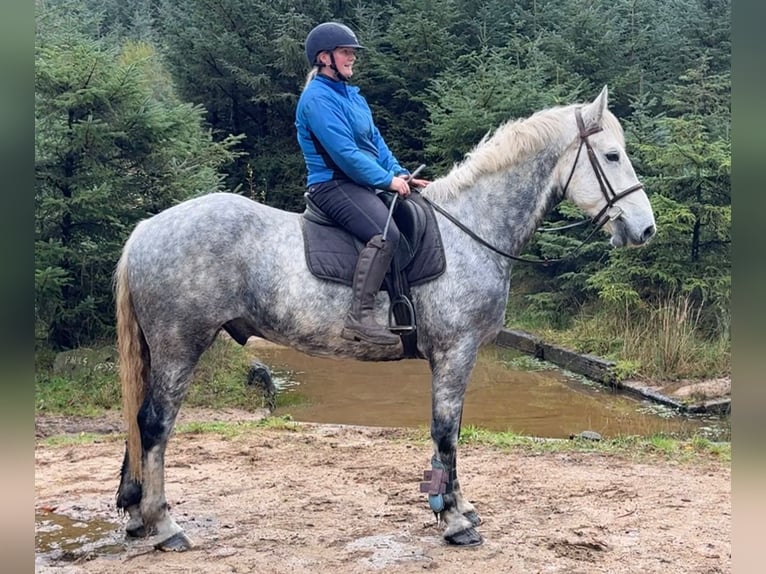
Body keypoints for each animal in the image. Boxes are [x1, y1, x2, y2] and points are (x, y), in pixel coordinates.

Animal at [114, 86, 656, 551]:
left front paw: (459, 506)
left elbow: (452, 432)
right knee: (155, 423)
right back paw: (165, 525)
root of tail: (146, 228)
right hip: (180, 345)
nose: (645, 229)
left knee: (141, 422)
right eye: (612, 156)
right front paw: (454, 520)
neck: (472, 229)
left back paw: (137, 515)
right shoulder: (455, 352)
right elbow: (446, 431)